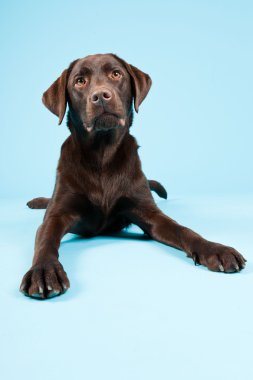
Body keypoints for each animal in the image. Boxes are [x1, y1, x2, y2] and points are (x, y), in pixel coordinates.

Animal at [20, 53, 247, 298]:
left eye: (116, 74)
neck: (102, 157)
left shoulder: (150, 214)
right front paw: (44, 270)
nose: (100, 96)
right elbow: (46, 240)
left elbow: (184, 230)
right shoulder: (56, 215)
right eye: (79, 81)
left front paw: (215, 249)